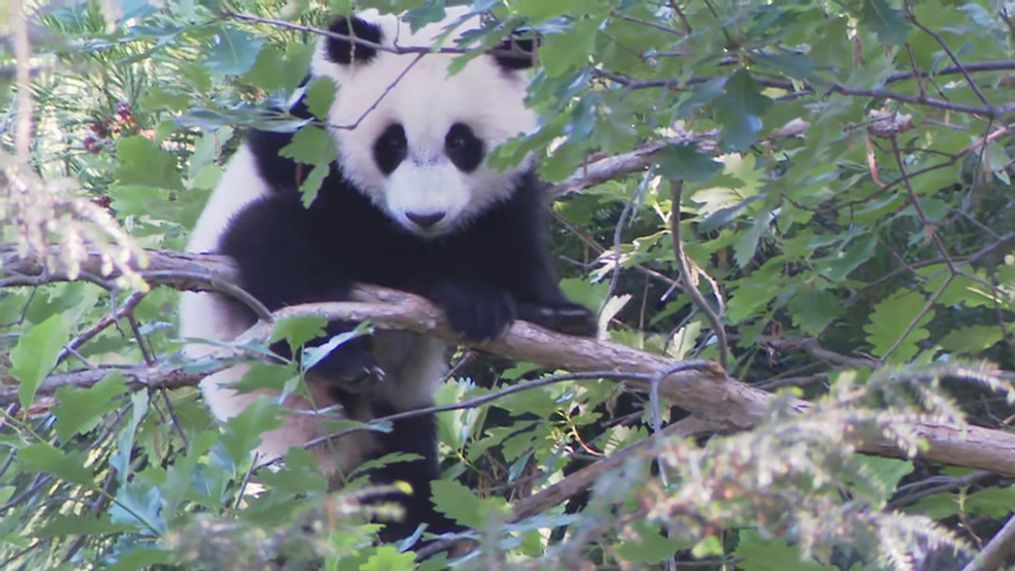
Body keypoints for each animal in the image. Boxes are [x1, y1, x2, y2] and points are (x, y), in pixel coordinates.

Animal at [179, 8, 595, 543]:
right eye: (391, 143)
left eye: (461, 142)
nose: (425, 216)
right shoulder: (310, 153)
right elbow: (372, 248)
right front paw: (471, 298)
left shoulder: (506, 188)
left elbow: (512, 236)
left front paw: (555, 314)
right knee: (275, 251)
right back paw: (344, 359)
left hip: (391, 415)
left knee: (404, 462)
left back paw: (429, 530)